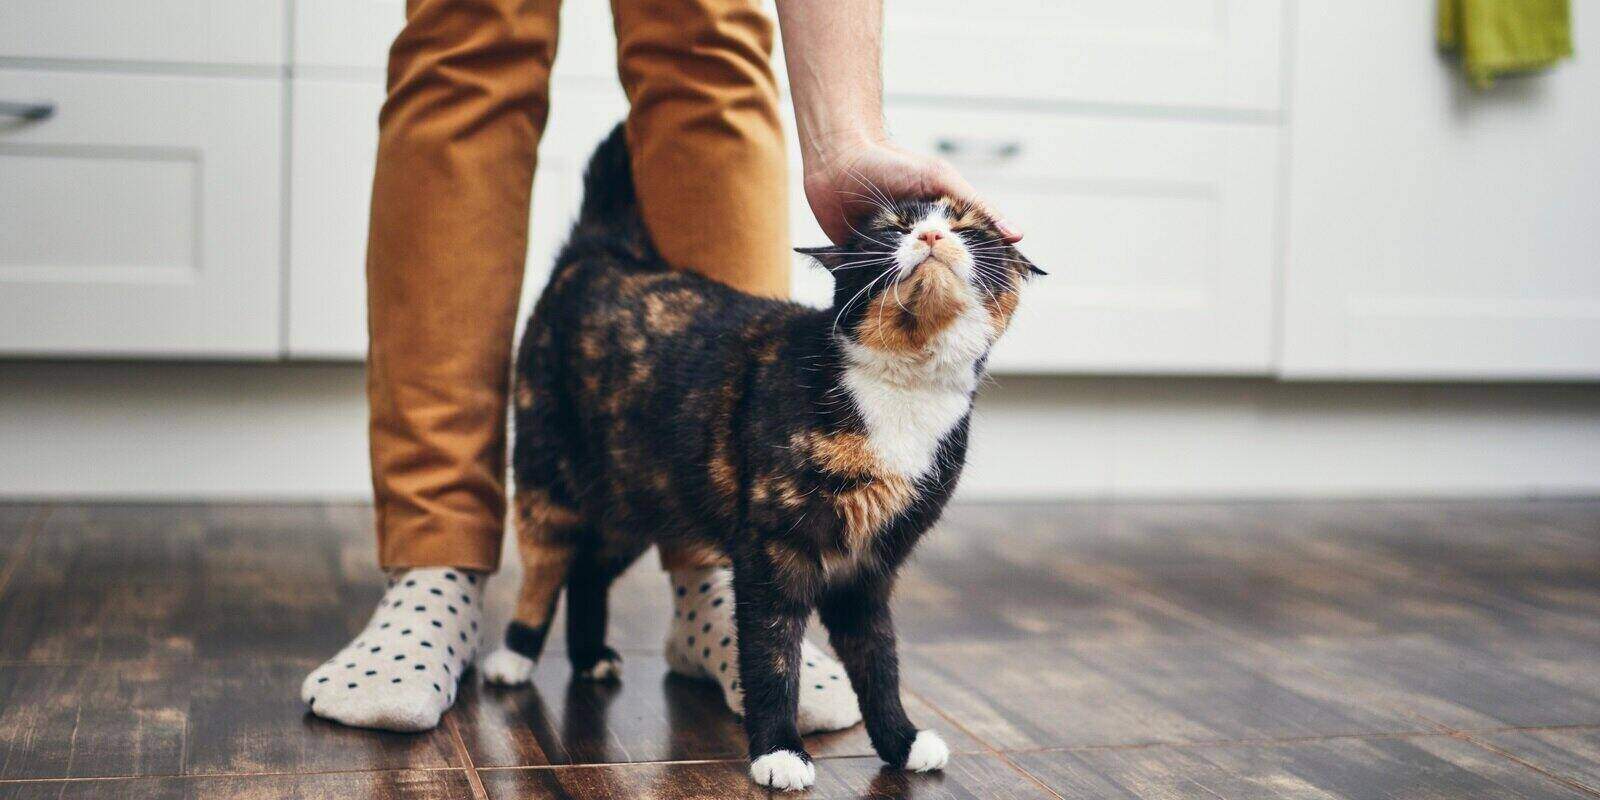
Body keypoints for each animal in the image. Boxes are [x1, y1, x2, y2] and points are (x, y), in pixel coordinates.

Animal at [480, 123, 1043, 787]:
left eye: (967, 227)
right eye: (892, 228)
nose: (930, 235)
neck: (902, 390)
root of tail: (602, 253)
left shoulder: (870, 568)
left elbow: (879, 661)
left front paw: (901, 741)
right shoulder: (773, 551)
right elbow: (772, 657)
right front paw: (778, 751)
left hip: (640, 498)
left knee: (590, 568)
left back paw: (590, 655)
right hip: (549, 476)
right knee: (546, 565)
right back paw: (514, 655)